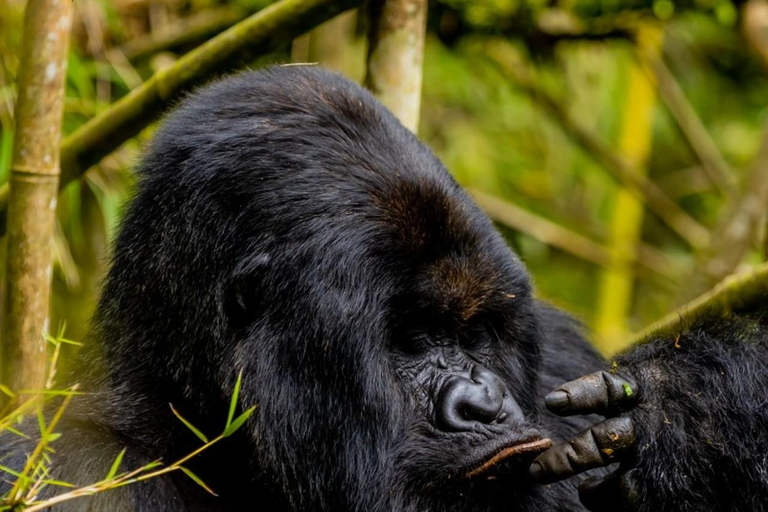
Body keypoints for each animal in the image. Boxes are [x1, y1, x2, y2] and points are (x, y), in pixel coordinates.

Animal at [1, 66, 768, 510]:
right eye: (413, 339)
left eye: (471, 334)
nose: (487, 406)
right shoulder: (67, 471)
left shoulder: (558, 355)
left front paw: (685, 411)